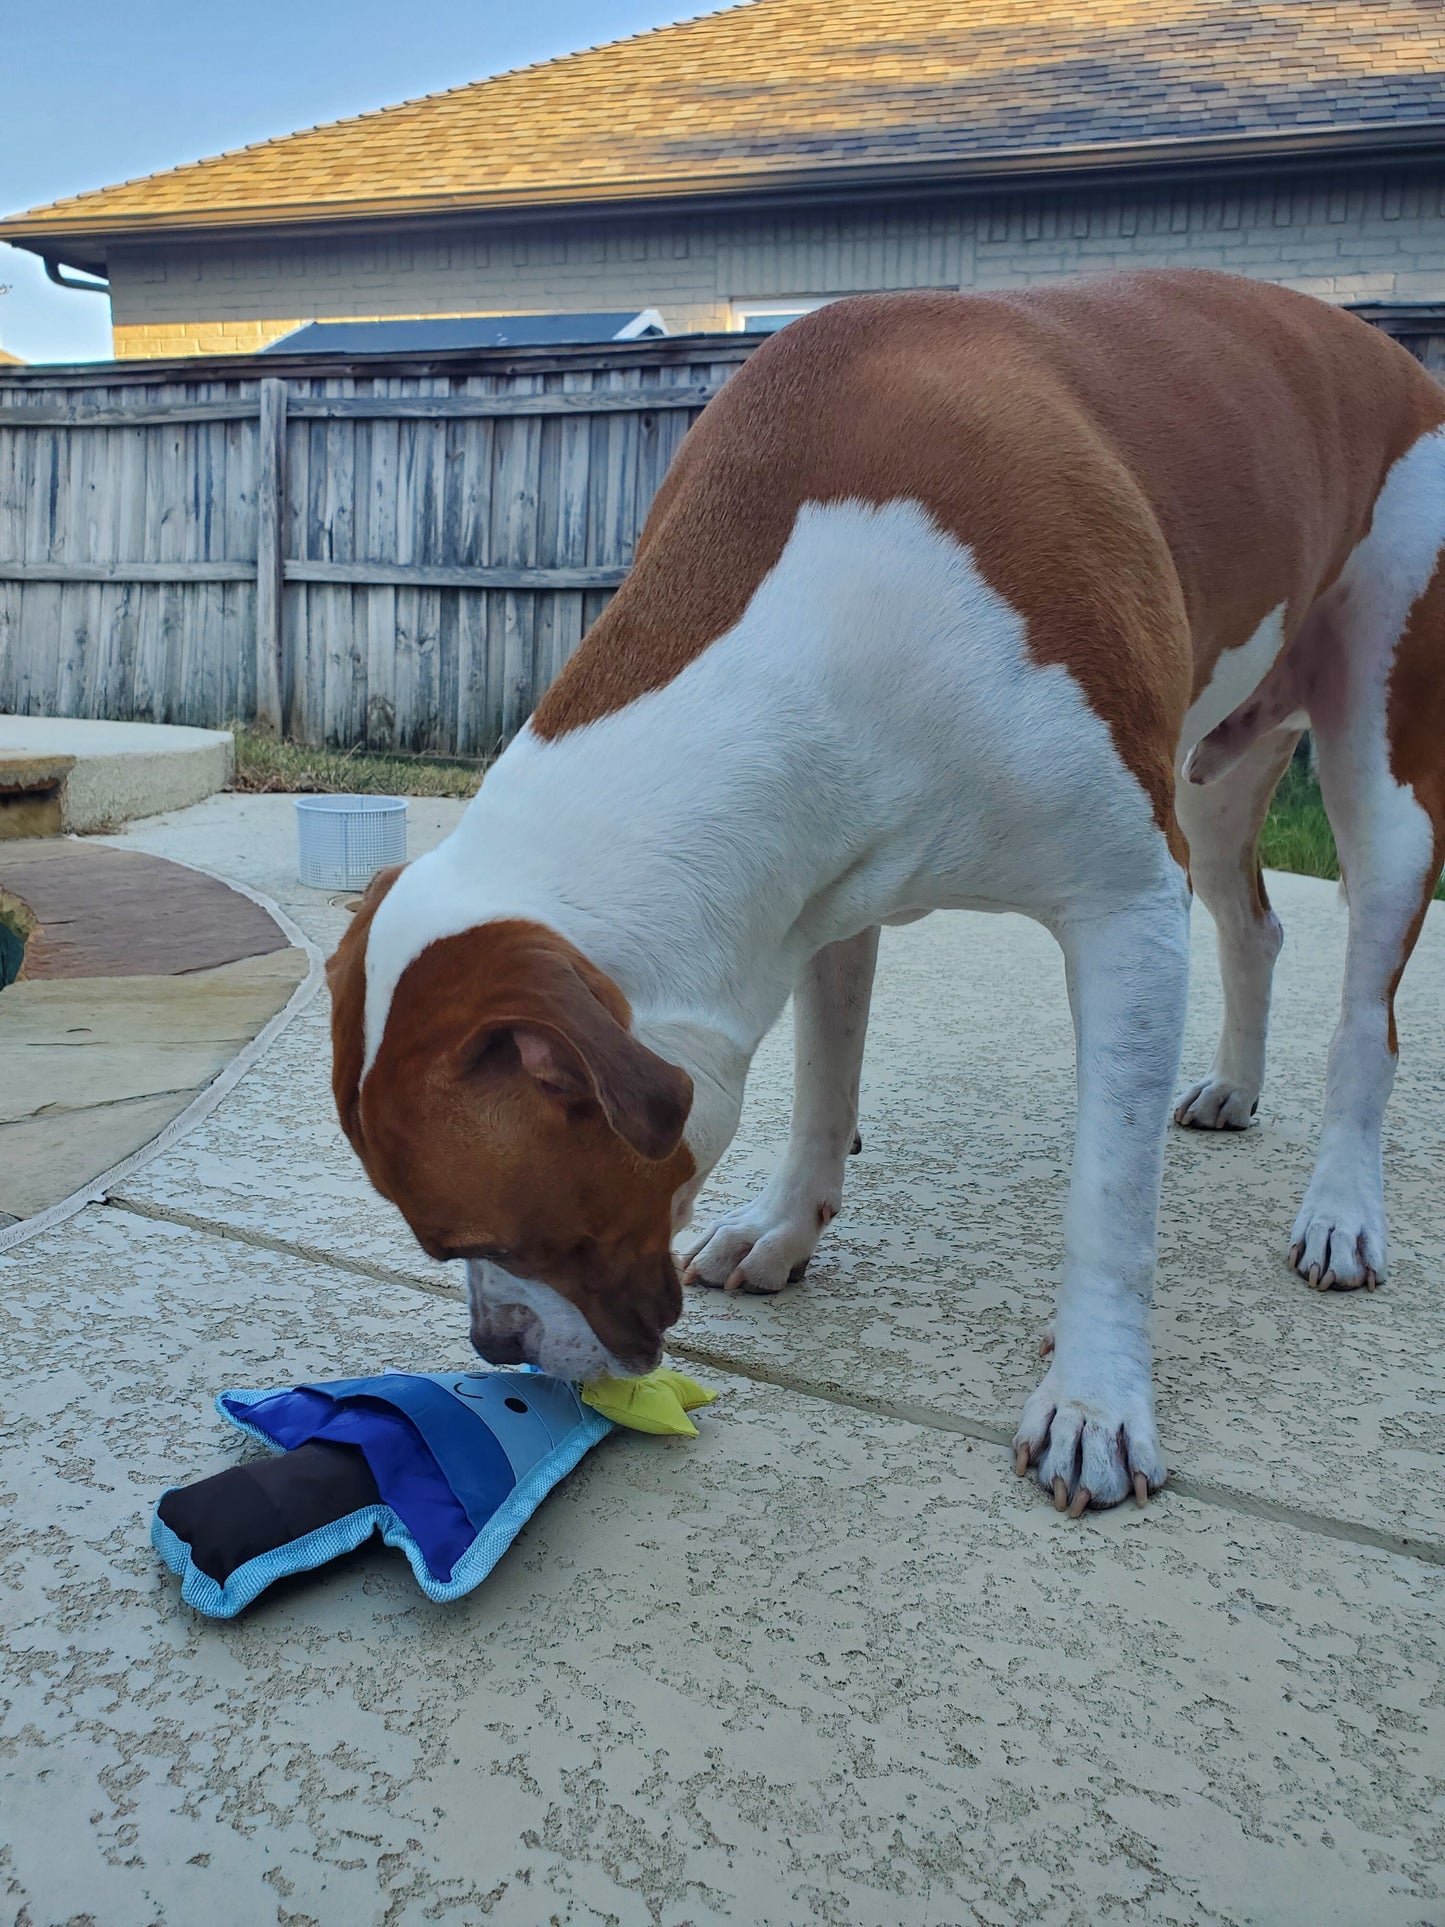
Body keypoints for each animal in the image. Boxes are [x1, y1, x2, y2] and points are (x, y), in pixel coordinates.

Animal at [327, 275, 1445, 1518]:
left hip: (1382, 771)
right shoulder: (822, 885)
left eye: (487, 1234)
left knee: (1365, 1021)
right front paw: (783, 1226)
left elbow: (1107, 1199)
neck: (808, 627)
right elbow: (822, 1081)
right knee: (1254, 925)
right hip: (1212, 776)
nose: (496, 1346)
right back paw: (1234, 1087)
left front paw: (1095, 1398)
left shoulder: (1124, 909)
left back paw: (1340, 1210)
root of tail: (1378, 350)